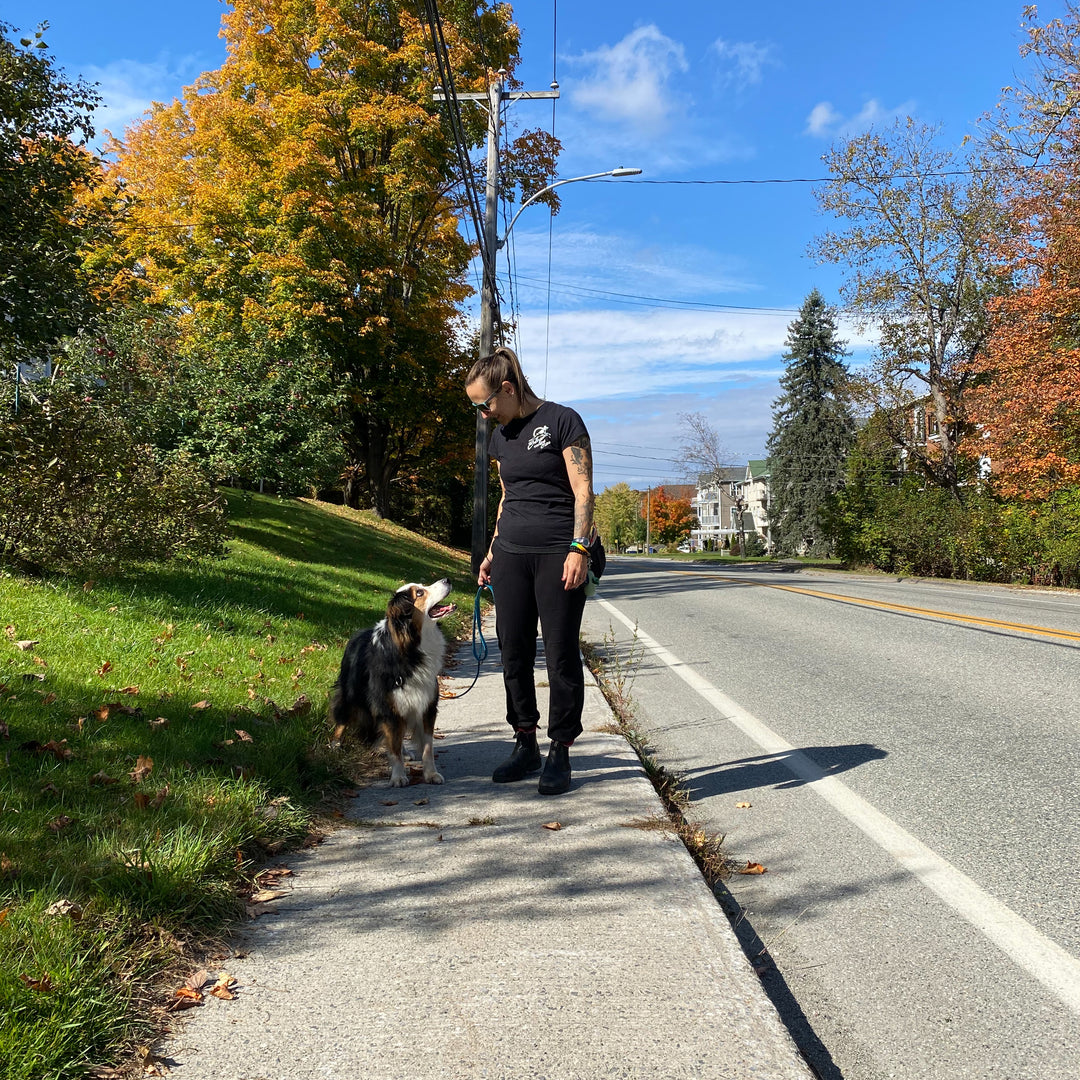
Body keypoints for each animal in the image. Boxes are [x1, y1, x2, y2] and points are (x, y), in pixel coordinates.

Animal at [324, 583, 451, 786]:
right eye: (420, 593)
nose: (447, 580)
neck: (411, 650)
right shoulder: (388, 708)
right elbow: (394, 747)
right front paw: (398, 776)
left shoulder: (426, 705)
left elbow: (427, 747)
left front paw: (431, 774)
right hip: (350, 694)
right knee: (342, 719)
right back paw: (335, 745)